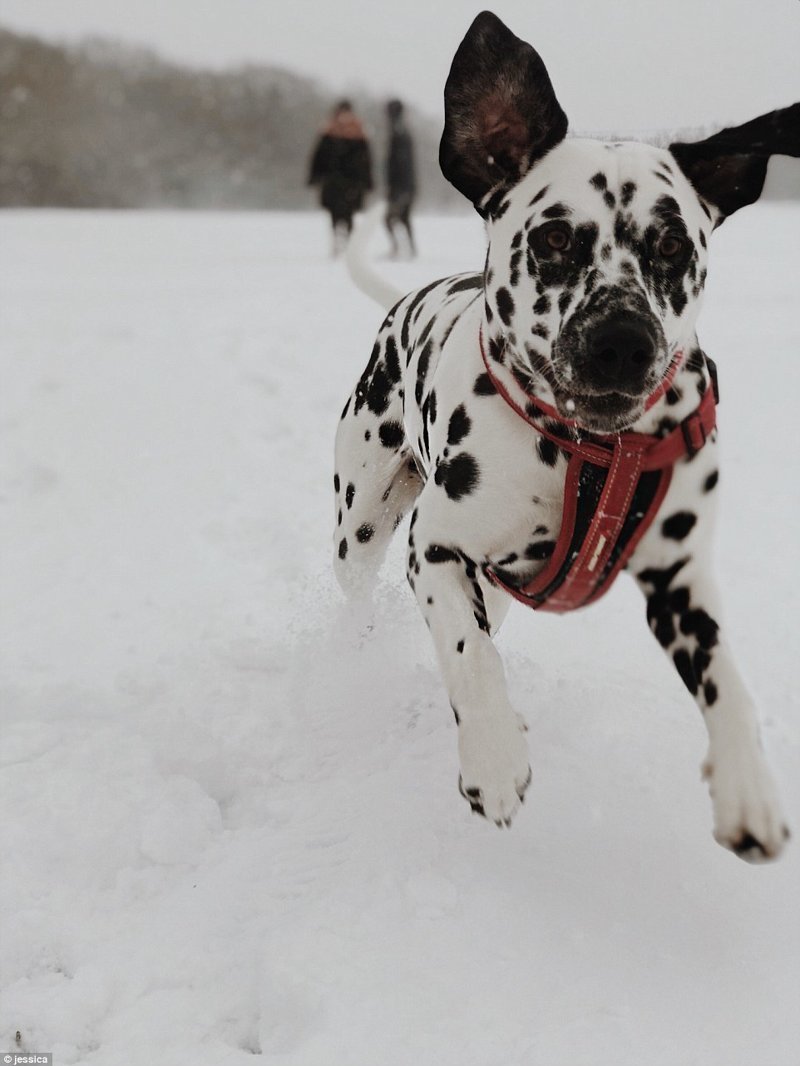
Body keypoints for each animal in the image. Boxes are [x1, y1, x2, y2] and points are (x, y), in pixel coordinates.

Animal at [332, 10, 800, 857]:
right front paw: (491, 756)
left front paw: (748, 784)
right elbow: (470, 658)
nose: (622, 342)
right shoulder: (435, 548)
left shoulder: (681, 580)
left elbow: (728, 682)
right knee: (368, 598)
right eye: (554, 239)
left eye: (672, 245)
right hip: (364, 525)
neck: (592, 452)